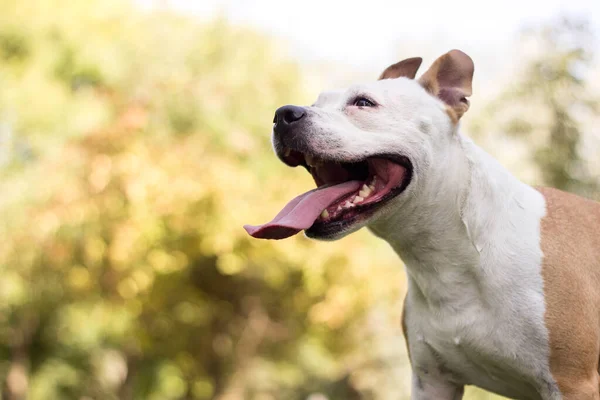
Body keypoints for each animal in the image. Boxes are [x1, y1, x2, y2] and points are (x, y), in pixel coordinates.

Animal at [244, 50, 600, 400]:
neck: (450, 259)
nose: (283, 114)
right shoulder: (432, 381)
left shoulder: (572, 383)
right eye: (316, 102)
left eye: (363, 102)